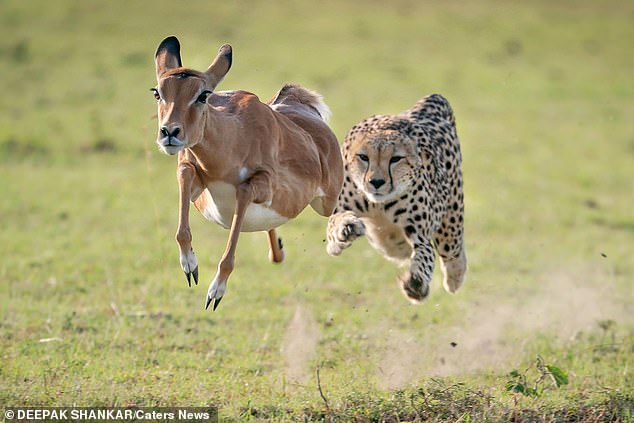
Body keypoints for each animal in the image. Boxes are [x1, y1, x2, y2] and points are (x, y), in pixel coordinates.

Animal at [326, 94, 464, 304]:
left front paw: (416, 283)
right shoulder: (339, 210)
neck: (378, 204)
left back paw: (455, 278)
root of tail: (432, 99)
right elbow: (335, 226)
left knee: (453, 251)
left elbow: (424, 256)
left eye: (395, 159)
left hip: (450, 224)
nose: (376, 182)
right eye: (363, 157)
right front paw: (347, 228)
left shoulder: (420, 236)